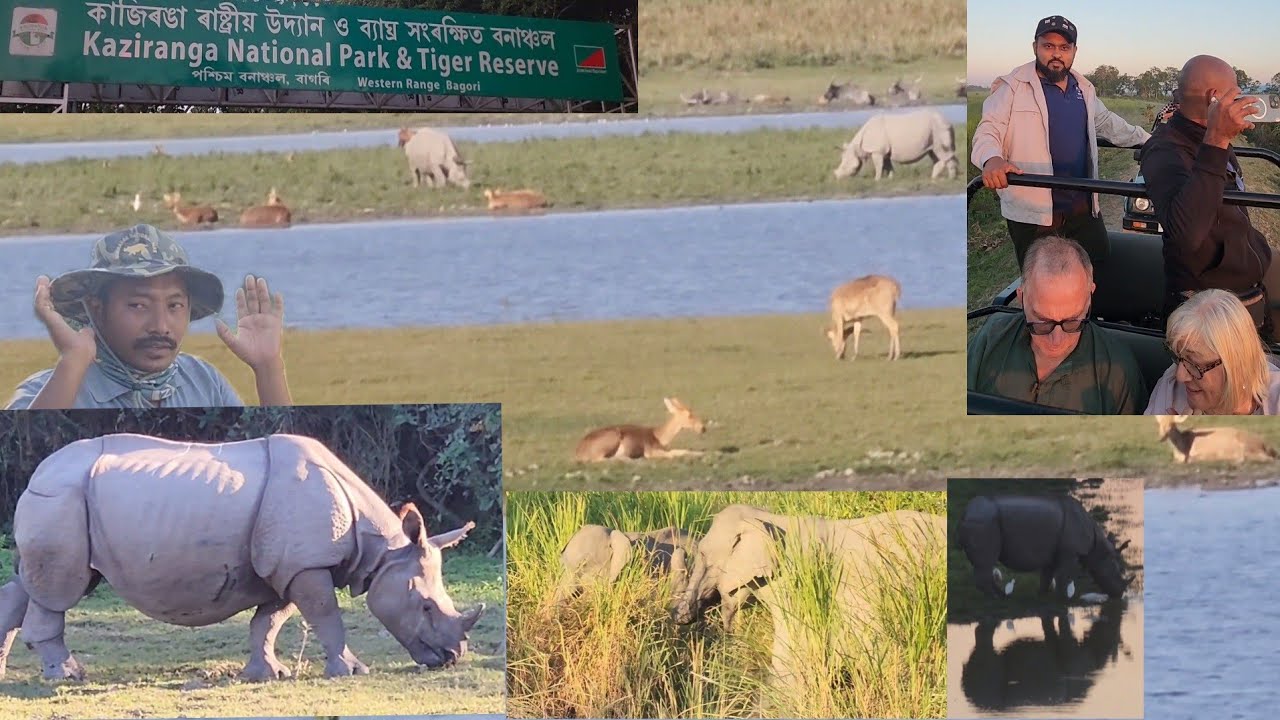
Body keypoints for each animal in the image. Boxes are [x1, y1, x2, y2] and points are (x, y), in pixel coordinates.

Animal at [0, 433, 485, 682]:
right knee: (59, 590)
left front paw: (269, 674)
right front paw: (351, 671)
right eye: (425, 606)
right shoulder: (304, 564)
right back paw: (68, 676)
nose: (452, 656)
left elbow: (269, 621)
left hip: (63, 500)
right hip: (61, 499)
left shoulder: (284, 566)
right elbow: (326, 614)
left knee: (30, 583)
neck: (381, 551)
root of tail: (37, 474)